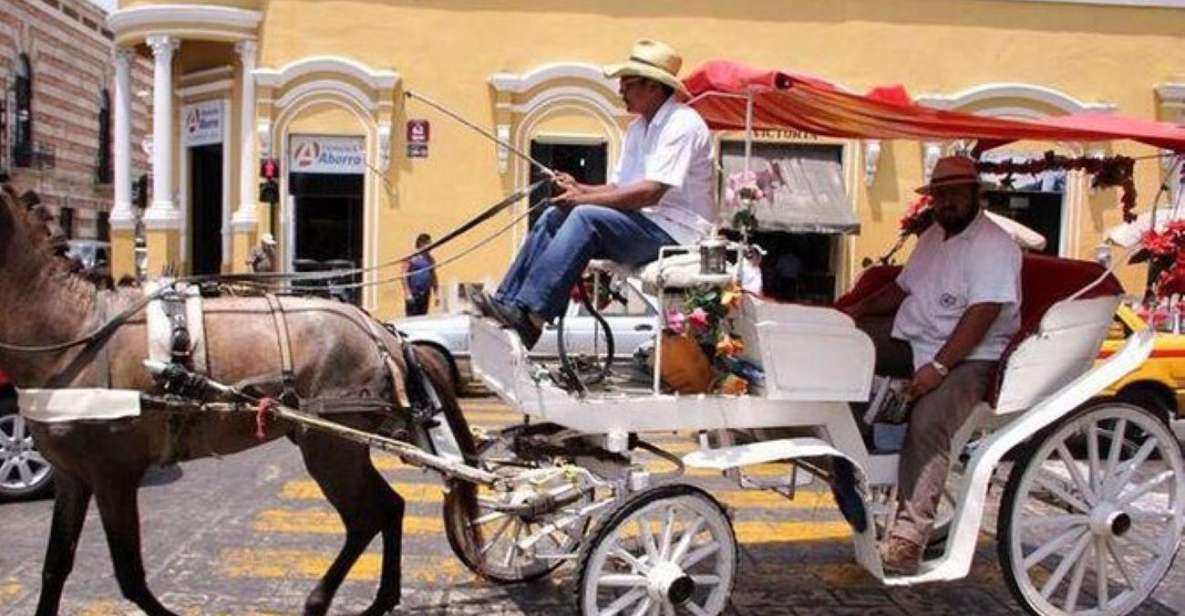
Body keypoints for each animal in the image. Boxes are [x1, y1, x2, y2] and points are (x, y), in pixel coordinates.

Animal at [1, 187, 471, 616]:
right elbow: (55, 566)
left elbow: (130, 575)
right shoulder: (72, 475)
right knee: (388, 508)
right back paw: (379, 599)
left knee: (367, 516)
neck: (75, 330)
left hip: (331, 446)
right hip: (334, 443)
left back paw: (321, 600)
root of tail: (384, 333)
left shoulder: (113, 475)